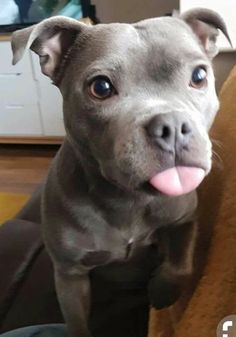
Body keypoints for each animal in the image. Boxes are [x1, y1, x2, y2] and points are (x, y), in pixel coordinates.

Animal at [11, 7, 230, 336]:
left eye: (199, 76)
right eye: (100, 87)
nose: (172, 126)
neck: (127, 200)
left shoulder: (186, 218)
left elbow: (181, 262)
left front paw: (163, 289)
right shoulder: (70, 275)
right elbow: (77, 323)